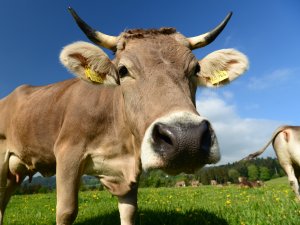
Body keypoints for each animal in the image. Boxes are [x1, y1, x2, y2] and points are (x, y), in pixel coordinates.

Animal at [0, 7, 248, 225]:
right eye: (123, 70)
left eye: (195, 69)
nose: (187, 139)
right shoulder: (67, 152)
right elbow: (66, 211)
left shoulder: (130, 171)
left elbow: (129, 212)